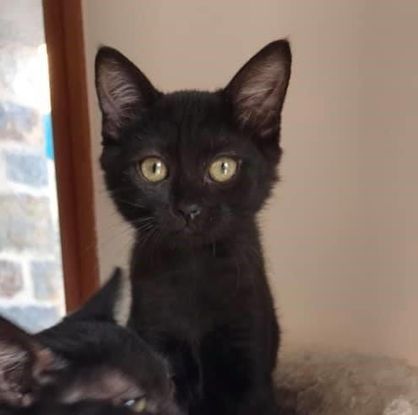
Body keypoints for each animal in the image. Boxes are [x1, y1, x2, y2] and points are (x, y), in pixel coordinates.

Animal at [95, 40, 291, 415]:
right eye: (153, 168)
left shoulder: (248, 353)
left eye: (223, 167)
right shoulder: (155, 342)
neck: (193, 270)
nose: (188, 209)